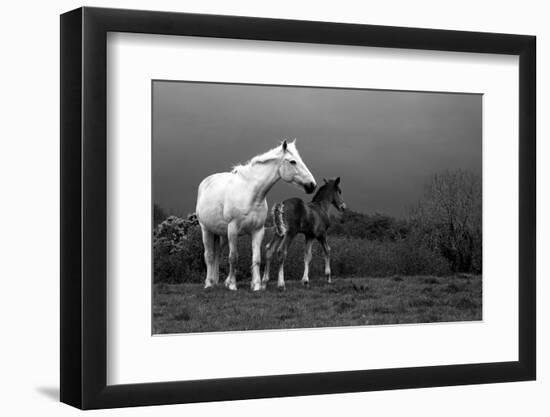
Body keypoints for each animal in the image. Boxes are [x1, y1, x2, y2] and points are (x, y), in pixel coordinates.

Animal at [196, 138, 316, 290]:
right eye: (292, 161)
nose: (312, 185)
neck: (250, 194)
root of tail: (206, 181)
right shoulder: (233, 230)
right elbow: (233, 257)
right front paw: (233, 285)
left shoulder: (258, 231)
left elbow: (257, 259)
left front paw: (257, 285)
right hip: (206, 230)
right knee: (209, 256)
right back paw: (209, 283)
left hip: (221, 234)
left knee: (217, 255)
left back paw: (216, 281)